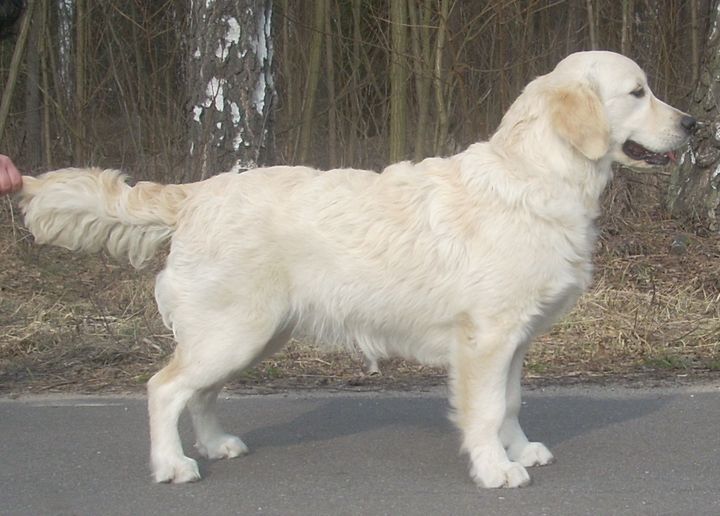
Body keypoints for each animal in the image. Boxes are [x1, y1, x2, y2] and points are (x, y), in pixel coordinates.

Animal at [17, 51, 696, 488]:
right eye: (638, 92)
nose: (694, 124)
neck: (538, 175)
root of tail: (198, 193)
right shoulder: (486, 337)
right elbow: (482, 410)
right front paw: (494, 469)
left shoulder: (516, 338)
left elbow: (509, 402)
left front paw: (519, 449)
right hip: (232, 331)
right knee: (164, 388)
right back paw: (174, 465)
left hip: (253, 334)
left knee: (200, 392)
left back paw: (215, 445)